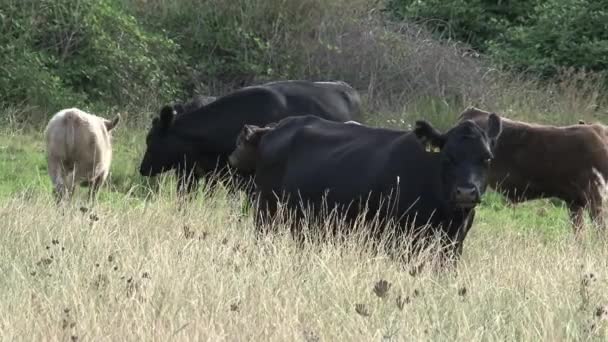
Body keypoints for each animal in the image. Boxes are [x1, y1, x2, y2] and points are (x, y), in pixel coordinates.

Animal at [229, 113, 504, 264]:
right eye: (448, 157)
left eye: (487, 158)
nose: (466, 192)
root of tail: (276, 127)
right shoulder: (401, 239)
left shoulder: (453, 244)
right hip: (267, 215)